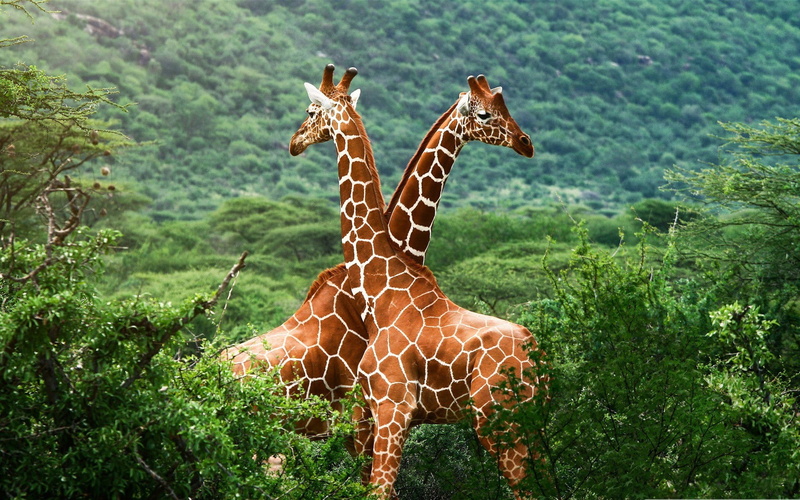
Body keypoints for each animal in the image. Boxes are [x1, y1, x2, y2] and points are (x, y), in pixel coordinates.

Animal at [288, 64, 544, 499]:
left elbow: (379, 490)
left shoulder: (392, 406)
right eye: (485, 113)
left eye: (310, 111)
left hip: (499, 419)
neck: (381, 286)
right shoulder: (375, 413)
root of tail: (537, 357)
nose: (294, 142)